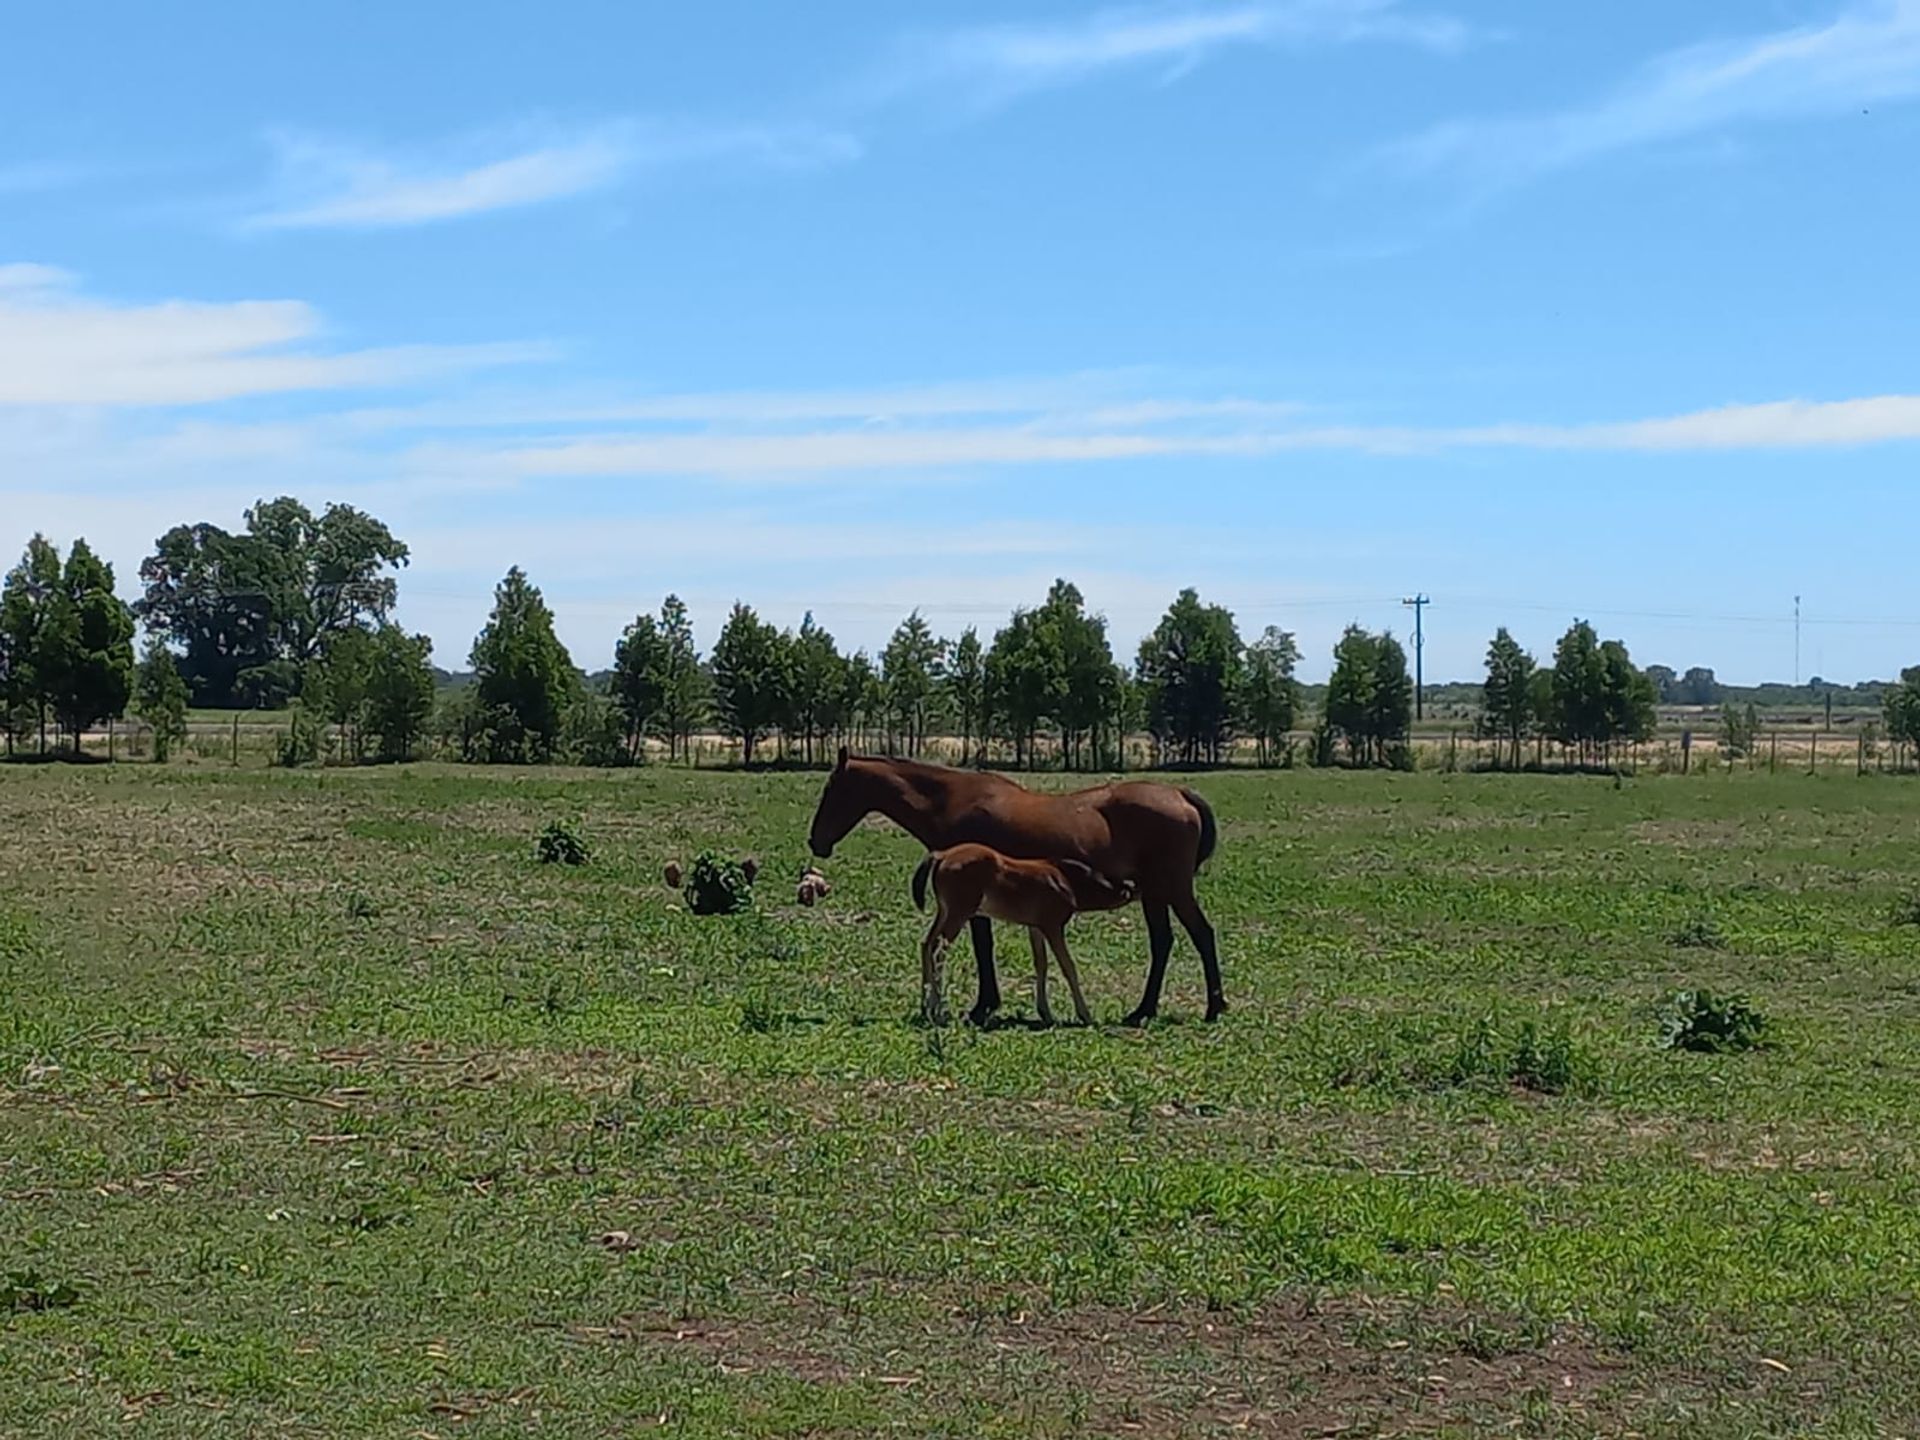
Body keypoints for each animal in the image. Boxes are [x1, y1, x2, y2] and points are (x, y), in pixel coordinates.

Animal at [910, 844, 1128, 1029]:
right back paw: (936, 1009)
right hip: (959, 912)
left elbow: (1041, 964)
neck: (1065, 880)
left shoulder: (1035, 928)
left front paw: (1046, 1013)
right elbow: (1068, 966)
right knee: (938, 950)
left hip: (945, 911)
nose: (1130, 887)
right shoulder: (1052, 926)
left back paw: (925, 1005)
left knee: (926, 944)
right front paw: (1085, 1015)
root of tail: (942, 855)